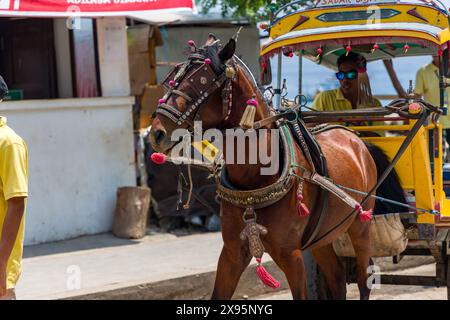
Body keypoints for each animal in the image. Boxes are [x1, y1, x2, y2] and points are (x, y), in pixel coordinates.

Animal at [150, 35, 400, 300]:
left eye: (201, 82)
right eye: (173, 77)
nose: (157, 132)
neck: (255, 176)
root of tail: (356, 139)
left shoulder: (291, 254)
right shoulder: (232, 253)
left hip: (360, 225)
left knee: (364, 280)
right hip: (321, 237)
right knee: (337, 275)